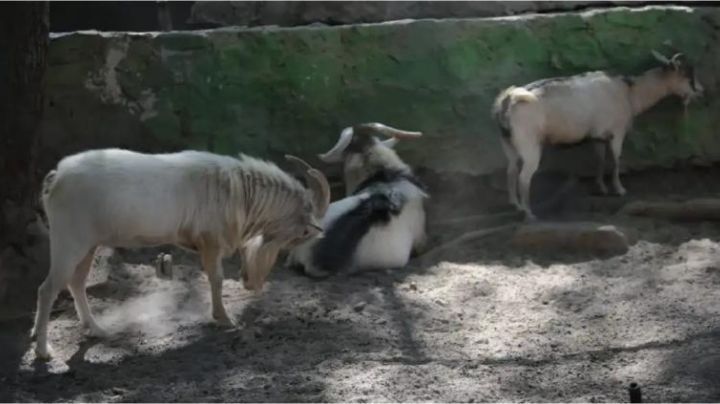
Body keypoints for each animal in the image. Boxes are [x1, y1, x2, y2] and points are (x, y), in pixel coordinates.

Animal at [31, 149, 329, 359]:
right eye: (302, 233)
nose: (252, 283)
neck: (238, 190)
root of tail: (56, 177)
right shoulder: (211, 242)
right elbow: (217, 279)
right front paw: (224, 319)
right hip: (69, 241)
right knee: (47, 289)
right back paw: (44, 350)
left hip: (88, 245)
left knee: (76, 282)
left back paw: (96, 329)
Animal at [492, 51, 704, 220]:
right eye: (687, 76)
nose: (701, 91)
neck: (630, 92)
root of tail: (508, 100)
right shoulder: (617, 132)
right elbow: (616, 160)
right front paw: (619, 189)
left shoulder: (598, 136)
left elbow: (600, 160)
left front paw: (601, 188)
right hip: (528, 144)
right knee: (524, 177)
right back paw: (529, 213)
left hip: (508, 143)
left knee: (511, 170)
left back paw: (515, 205)